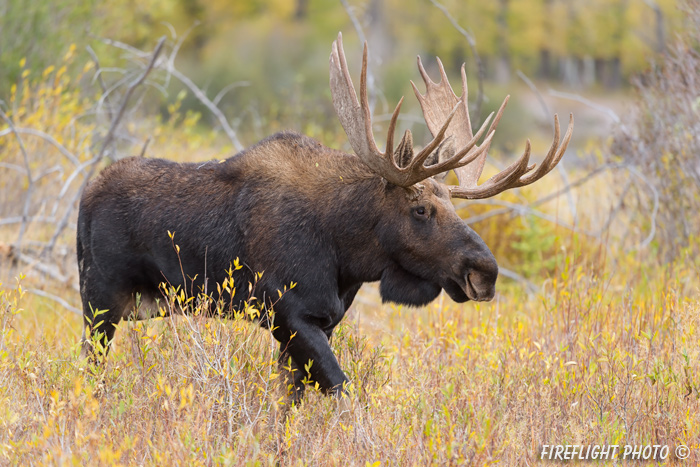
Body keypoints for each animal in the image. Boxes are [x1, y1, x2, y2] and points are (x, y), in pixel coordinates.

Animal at [79, 33, 576, 398]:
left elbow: (291, 399)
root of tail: (85, 195)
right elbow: (342, 389)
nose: (485, 271)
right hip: (100, 300)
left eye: (454, 205)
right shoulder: (291, 313)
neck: (346, 253)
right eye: (419, 208)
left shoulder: (324, 321)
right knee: (89, 366)